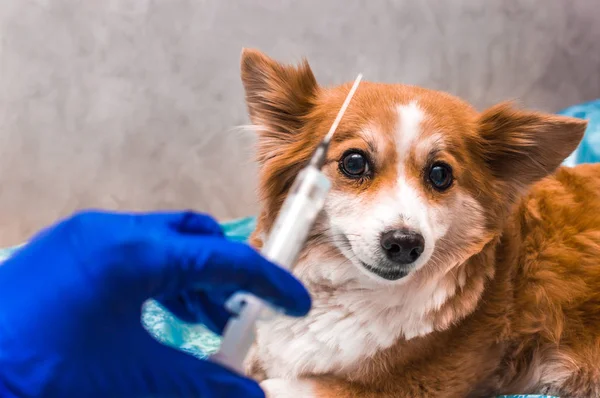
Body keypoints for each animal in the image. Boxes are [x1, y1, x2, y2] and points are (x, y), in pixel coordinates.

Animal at [239, 49, 600, 398]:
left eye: (440, 174)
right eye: (354, 162)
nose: (405, 244)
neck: (345, 290)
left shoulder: (416, 384)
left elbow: (277, 385)